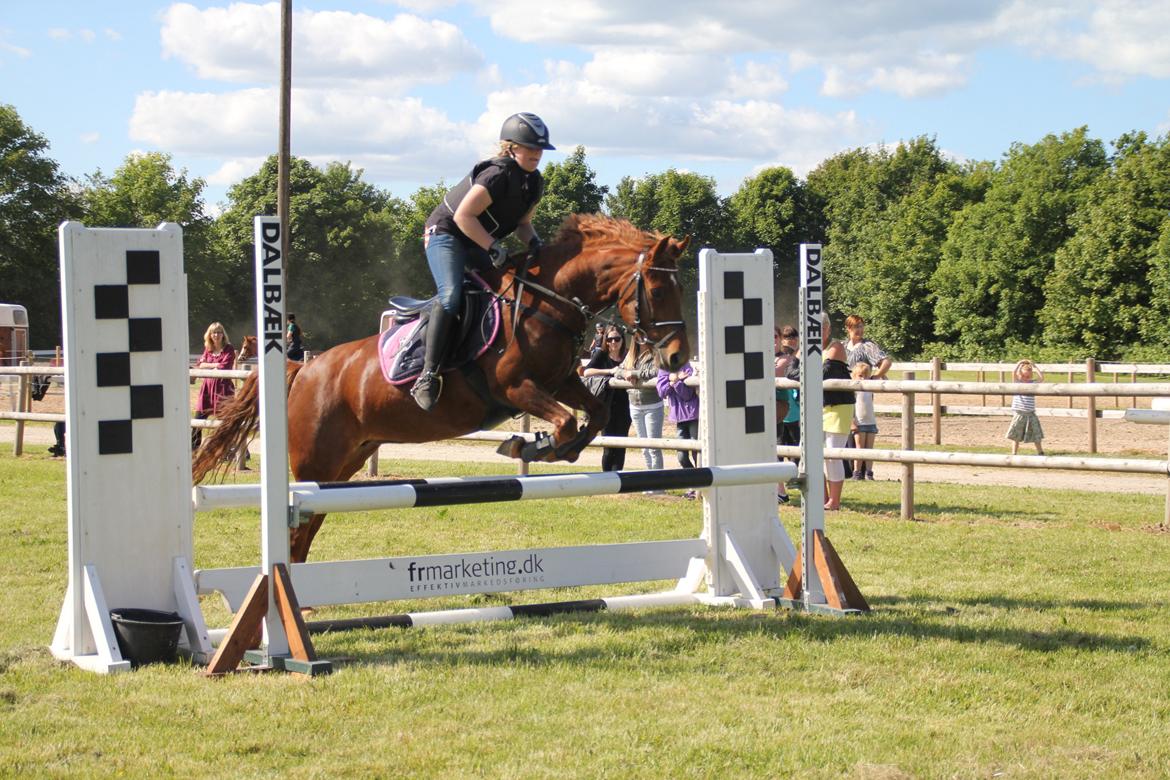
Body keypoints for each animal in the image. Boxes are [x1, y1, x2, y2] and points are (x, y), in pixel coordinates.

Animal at [187, 216, 687, 563]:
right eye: (658, 291)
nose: (678, 359)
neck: (546, 302)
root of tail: (303, 370)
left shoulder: (562, 380)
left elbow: (595, 416)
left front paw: (547, 447)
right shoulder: (516, 387)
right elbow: (564, 421)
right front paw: (530, 445)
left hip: (343, 464)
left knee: (307, 528)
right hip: (315, 463)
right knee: (296, 530)